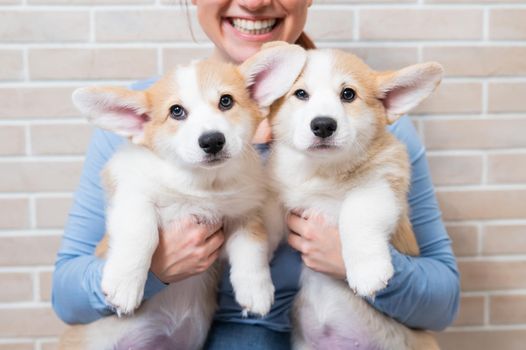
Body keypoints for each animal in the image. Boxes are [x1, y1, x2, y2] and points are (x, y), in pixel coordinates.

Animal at [60, 43, 310, 350]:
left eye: (226, 101)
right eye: (176, 111)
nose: (212, 141)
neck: (202, 185)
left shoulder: (243, 215)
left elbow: (252, 249)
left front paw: (256, 290)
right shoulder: (131, 193)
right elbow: (141, 232)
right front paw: (125, 284)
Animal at [268, 47, 446, 350]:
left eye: (348, 94)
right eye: (301, 94)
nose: (323, 125)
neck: (323, 172)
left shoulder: (382, 187)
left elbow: (357, 211)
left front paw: (367, 271)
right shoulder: (282, 205)